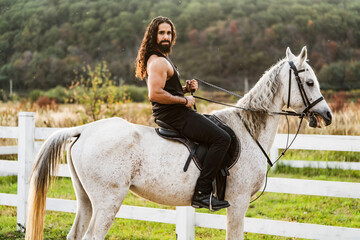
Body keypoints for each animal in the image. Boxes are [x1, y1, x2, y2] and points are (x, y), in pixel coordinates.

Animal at [25, 46, 332, 239]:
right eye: (309, 83)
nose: (327, 115)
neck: (248, 131)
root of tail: (85, 130)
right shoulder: (238, 202)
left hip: (86, 201)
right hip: (107, 201)